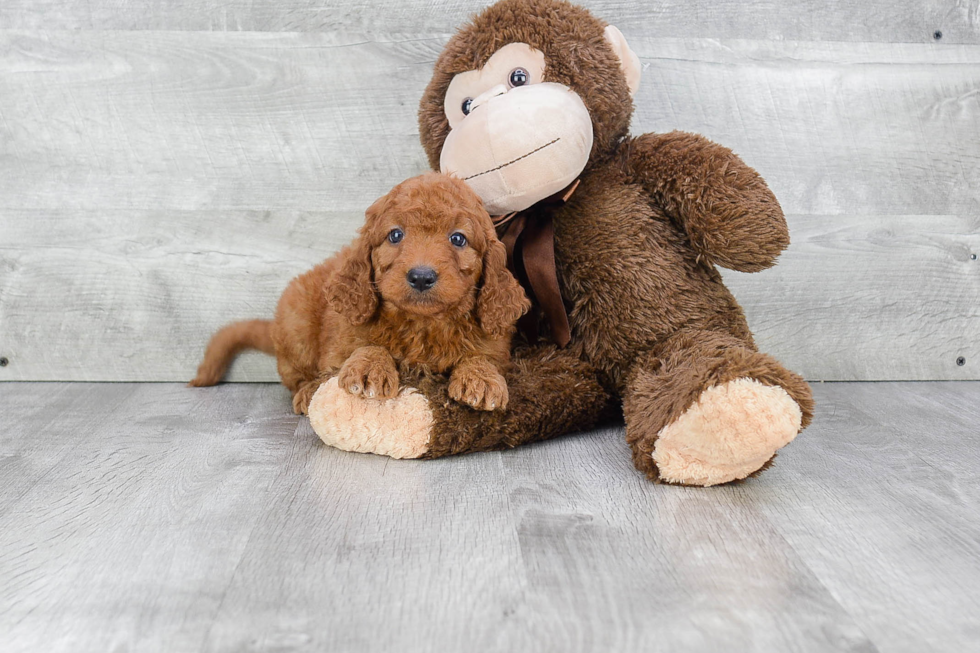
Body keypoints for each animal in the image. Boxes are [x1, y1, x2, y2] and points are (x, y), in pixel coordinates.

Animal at [189, 174, 528, 412]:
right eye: (395, 235)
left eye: (458, 239)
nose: (421, 276)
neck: (422, 325)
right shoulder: (340, 343)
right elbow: (366, 346)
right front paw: (369, 368)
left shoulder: (495, 344)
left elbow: (480, 356)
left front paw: (481, 378)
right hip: (296, 324)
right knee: (296, 377)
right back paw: (307, 392)